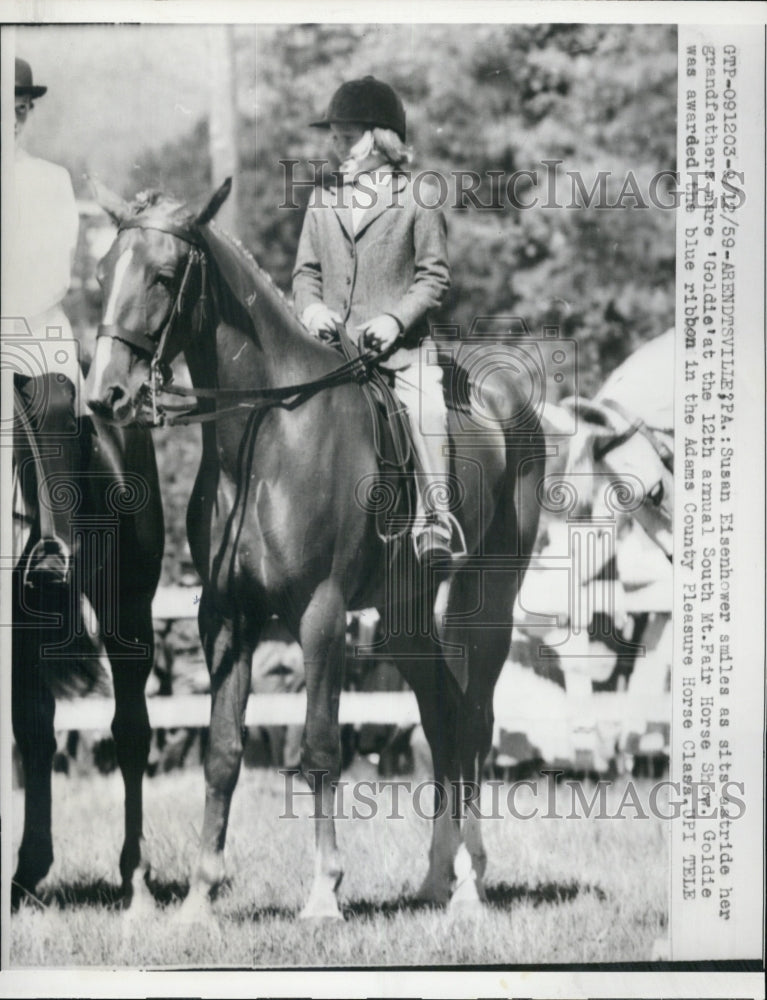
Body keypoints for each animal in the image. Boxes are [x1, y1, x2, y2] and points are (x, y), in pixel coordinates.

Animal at [85, 178, 545, 919]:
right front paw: (199, 896)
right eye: (102, 274)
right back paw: (436, 878)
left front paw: (325, 891)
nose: (106, 395)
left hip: (488, 603)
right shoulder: (225, 619)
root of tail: (509, 398)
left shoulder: (320, 614)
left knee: (474, 721)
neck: (266, 435)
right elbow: (222, 750)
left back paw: (471, 883)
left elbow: (321, 748)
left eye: (162, 275)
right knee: (441, 718)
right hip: (404, 620)